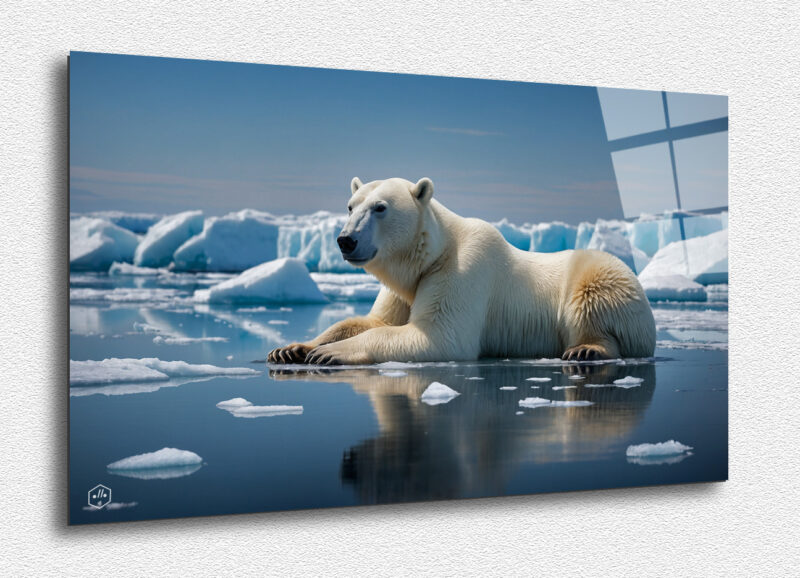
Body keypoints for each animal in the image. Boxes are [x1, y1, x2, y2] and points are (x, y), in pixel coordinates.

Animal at [267, 177, 656, 365]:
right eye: (350, 206)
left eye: (380, 208)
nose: (345, 240)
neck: (431, 253)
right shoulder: (404, 288)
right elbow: (372, 321)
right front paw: (293, 348)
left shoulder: (462, 270)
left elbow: (438, 336)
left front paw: (330, 353)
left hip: (604, 277)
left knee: (592, 302)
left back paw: (588, 349)